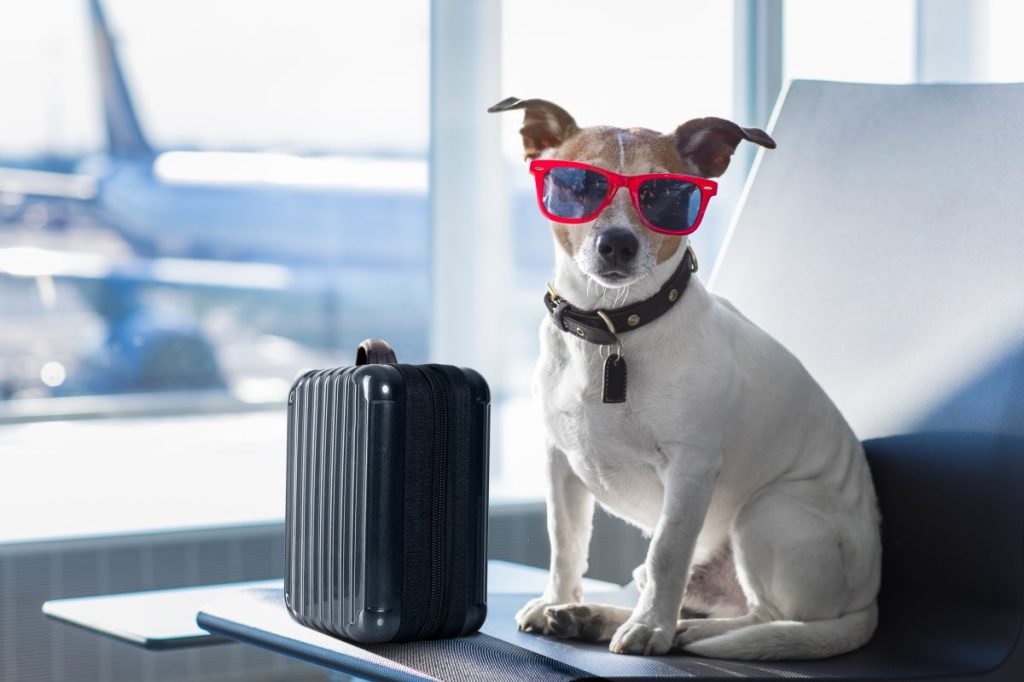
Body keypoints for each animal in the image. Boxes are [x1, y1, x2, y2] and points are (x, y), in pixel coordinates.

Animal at [487, 98, 880, 655]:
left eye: (667, 194)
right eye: (578, 185)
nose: (616, 244)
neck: (612, 329)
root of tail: (869, 601)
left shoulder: (689, 471)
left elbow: (667, 552)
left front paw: (652, 628)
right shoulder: (559, 464)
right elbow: (565, 542)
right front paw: (556, 600)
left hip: (770, 511)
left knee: (763, 617)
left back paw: (680, 632)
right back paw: (592, 616)